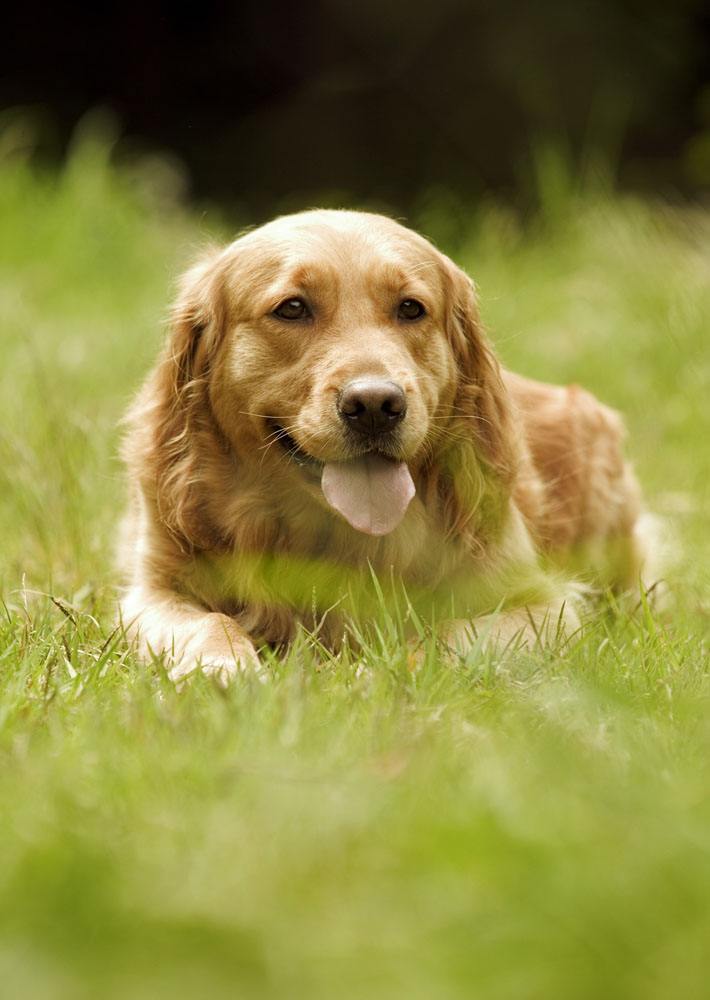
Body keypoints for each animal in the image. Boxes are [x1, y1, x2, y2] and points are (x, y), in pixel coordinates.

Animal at [118, 209, 656, 680]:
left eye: (410, 308)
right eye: (292, 308)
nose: (375, 405)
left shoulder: (545, 606)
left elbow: (446, 633)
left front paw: (379, 672)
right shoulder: (153, 591)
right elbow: (209, 623)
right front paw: (221, 669)